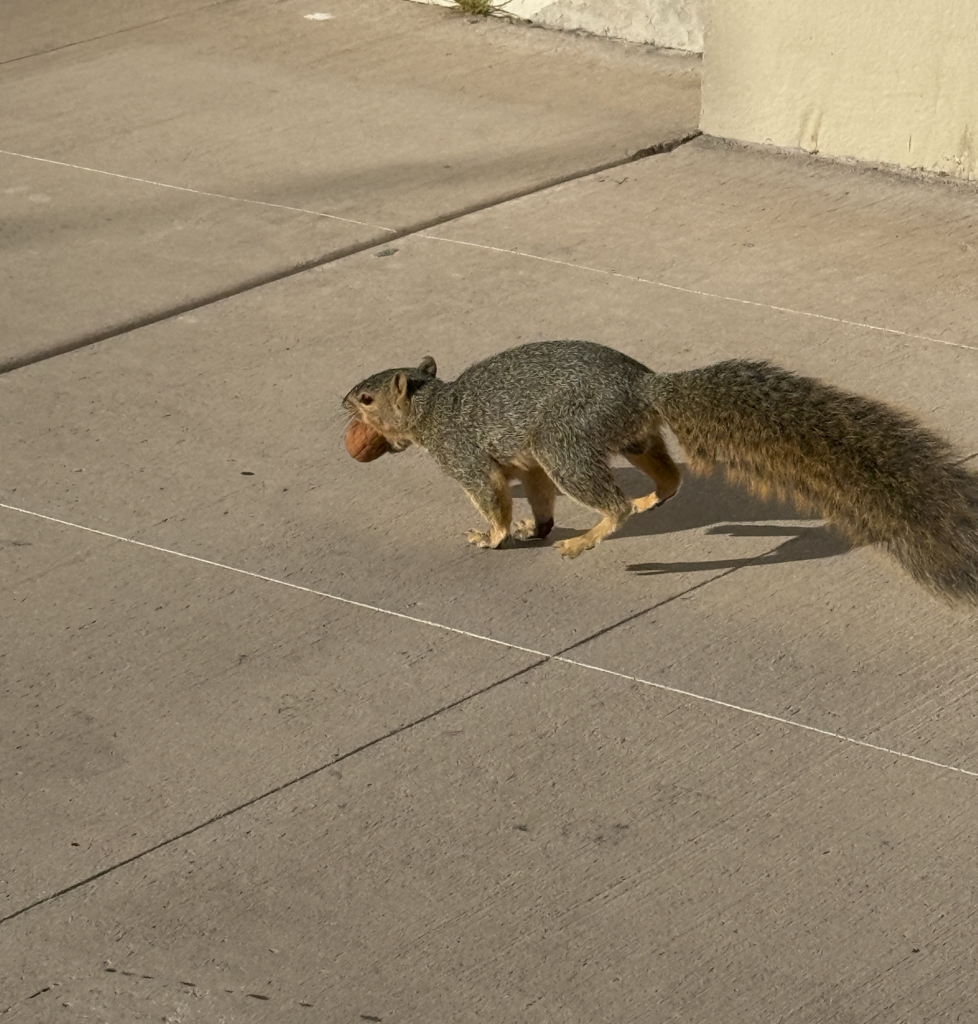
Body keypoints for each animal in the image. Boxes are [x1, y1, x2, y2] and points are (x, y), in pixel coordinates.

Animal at [342, 340, 978, 603]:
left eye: (368, 399)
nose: (341, 403)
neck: (433, 410)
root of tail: (644, 385)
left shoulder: (469, 457)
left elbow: (493, 498)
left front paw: (493, 536)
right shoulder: (528, 463)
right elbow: (538, 496)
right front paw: (535, 527)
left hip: (566, 438)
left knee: (614, 502)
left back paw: (591, 535)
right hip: (626, 436)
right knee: (668, 479)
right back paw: (647, 503)